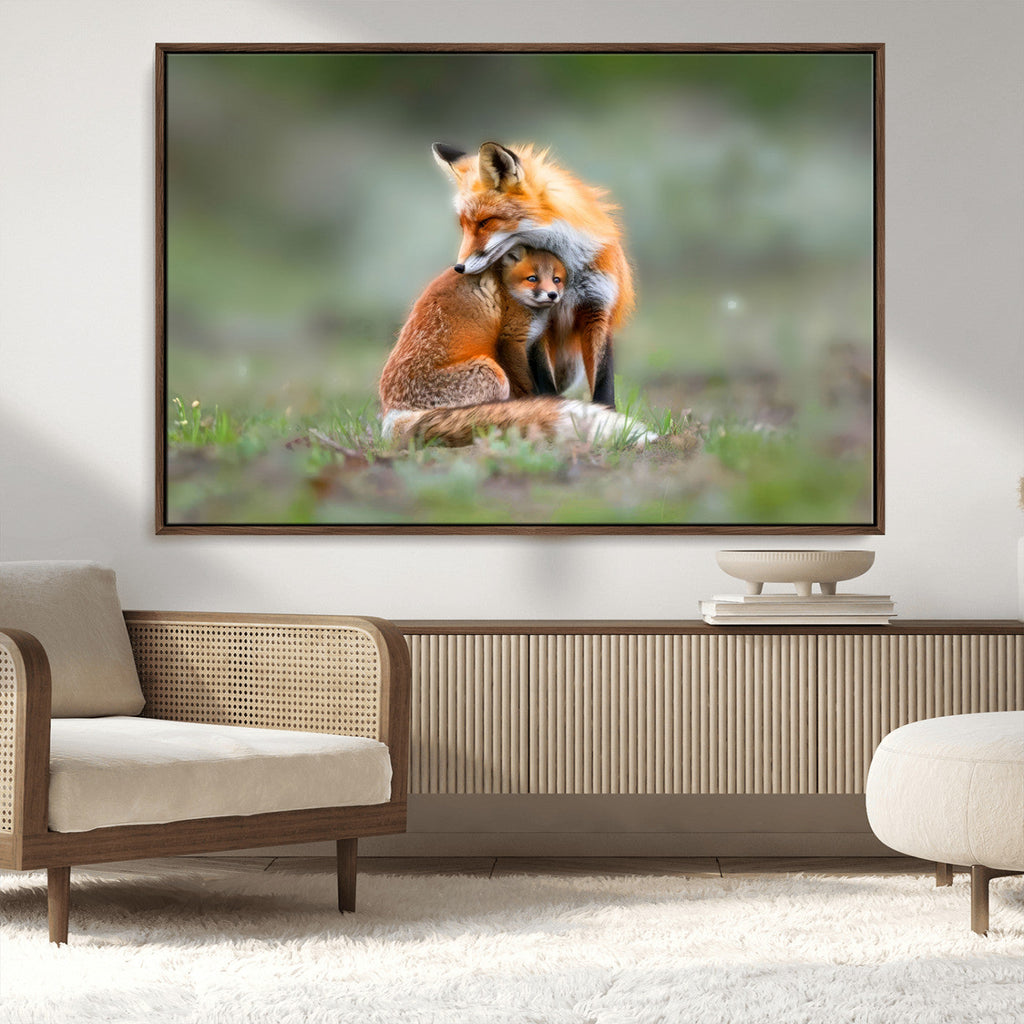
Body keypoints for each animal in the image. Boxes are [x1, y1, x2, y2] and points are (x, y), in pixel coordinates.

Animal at [379, 246, 653, 448]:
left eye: (556, 279)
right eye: (532, 279)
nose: (553, 295)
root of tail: (393, 413)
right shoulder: (511, 340)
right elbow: (528, 386)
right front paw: (539, 406)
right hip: (493, 373)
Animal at [432, 141, 634, 409]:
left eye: (485, 222)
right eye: (463, 226)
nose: (459, 267)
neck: (567, 270)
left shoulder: (597, 310)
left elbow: (603, 383)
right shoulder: (538, 322)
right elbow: (544, 381)